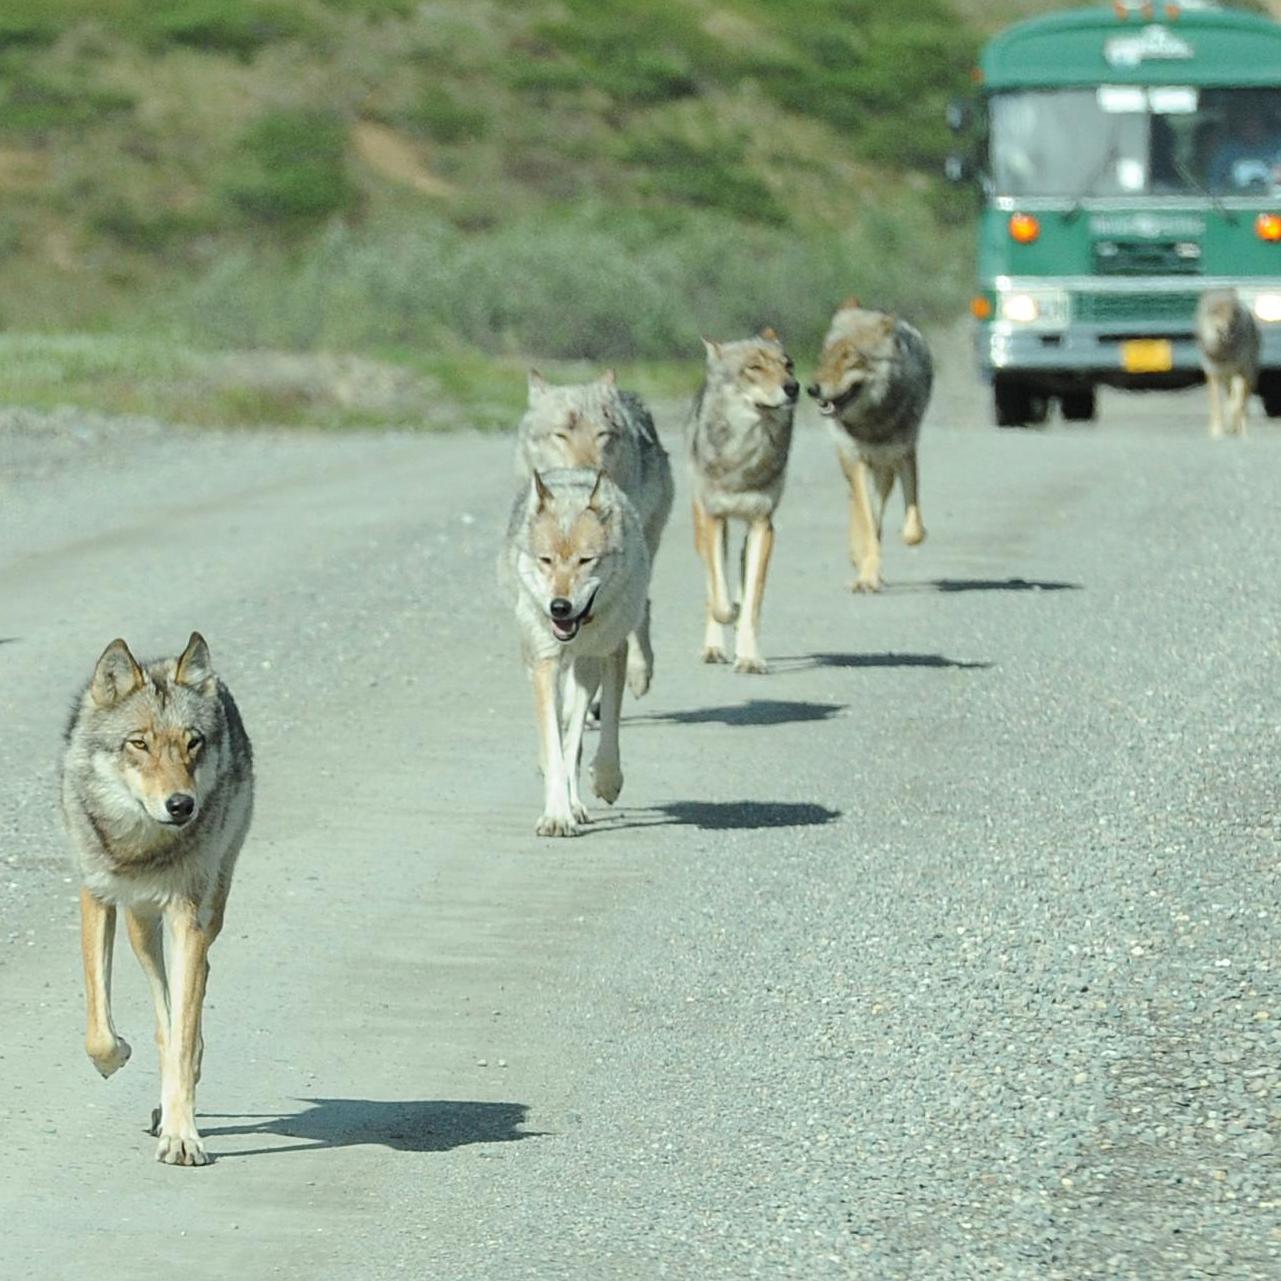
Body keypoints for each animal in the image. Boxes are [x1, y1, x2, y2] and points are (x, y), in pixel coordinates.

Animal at [61, 632, 253, 1166]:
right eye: (139, 743)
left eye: (193, 742)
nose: (181, 805)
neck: (140, 845)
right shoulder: (96, 897)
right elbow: (100, 1031)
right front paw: (117, 1057)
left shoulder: (187, 916)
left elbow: (183, 1032)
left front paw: (182, 1134)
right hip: (139, 925)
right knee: (164, 1011)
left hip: (208, 910)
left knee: (191, 995)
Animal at [500, 467, 649, 837]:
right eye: (546, 560)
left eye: (585, 560)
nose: (559, 607)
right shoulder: (545, 664)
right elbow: (554, 749)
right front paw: (556, 815)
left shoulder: (613, 651)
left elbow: (606, 729)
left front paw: (607, 782)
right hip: (540, 666)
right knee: (558, 736)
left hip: (587, 670)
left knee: (575, 737)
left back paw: (578, 803)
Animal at [687, 328, 800, 674]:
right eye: (755, 367)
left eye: (788, 365)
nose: (793, 387)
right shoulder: (713, 519)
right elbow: (720, 599)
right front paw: (730, 613)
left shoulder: (764, 524)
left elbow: (752, 601)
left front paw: (749, 658)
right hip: (706, 527)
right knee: (713, 586)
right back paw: (713, 648)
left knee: (741, 569)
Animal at [808, 298, 933, 593]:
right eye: (825, 356)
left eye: (851, 358)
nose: (812, 389)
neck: (873, 421)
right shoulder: (857, 460)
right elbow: (867, 524)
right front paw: (866, 576)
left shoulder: (904, 455)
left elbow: (912, 530)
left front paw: (870, 571)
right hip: (852, 461)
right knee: (857, 503)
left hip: (885, 470)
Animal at [1196, 288, 1259, 438]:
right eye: (1216, 312)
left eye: (1232, 313)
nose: (1227, 328)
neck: (1222, 352)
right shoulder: (1213, 375)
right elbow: (1217, 406)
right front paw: (1217, 432)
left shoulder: (1239, 373)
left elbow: (1235, 403)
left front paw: (1231, 420)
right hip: (1227, 380)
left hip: (1248, 374)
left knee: (1243, 400)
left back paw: (1241, 428)